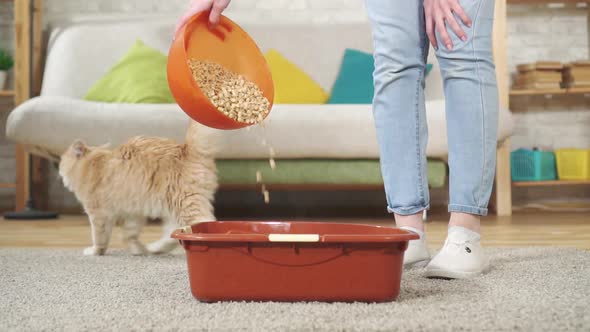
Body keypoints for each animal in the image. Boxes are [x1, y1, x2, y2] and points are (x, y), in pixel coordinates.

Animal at [60, 121, 219, 256]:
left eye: (62, 160)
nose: (59, 168)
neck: (93, 163)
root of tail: (186, 149)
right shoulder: (132, 212)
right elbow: (129, 234)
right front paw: (138, 250)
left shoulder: (99, 214)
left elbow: (99, 237)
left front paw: (95, 251)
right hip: (173, 209)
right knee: (173, 233)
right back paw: (155, 248)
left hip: (184, 203)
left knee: (202, 224)